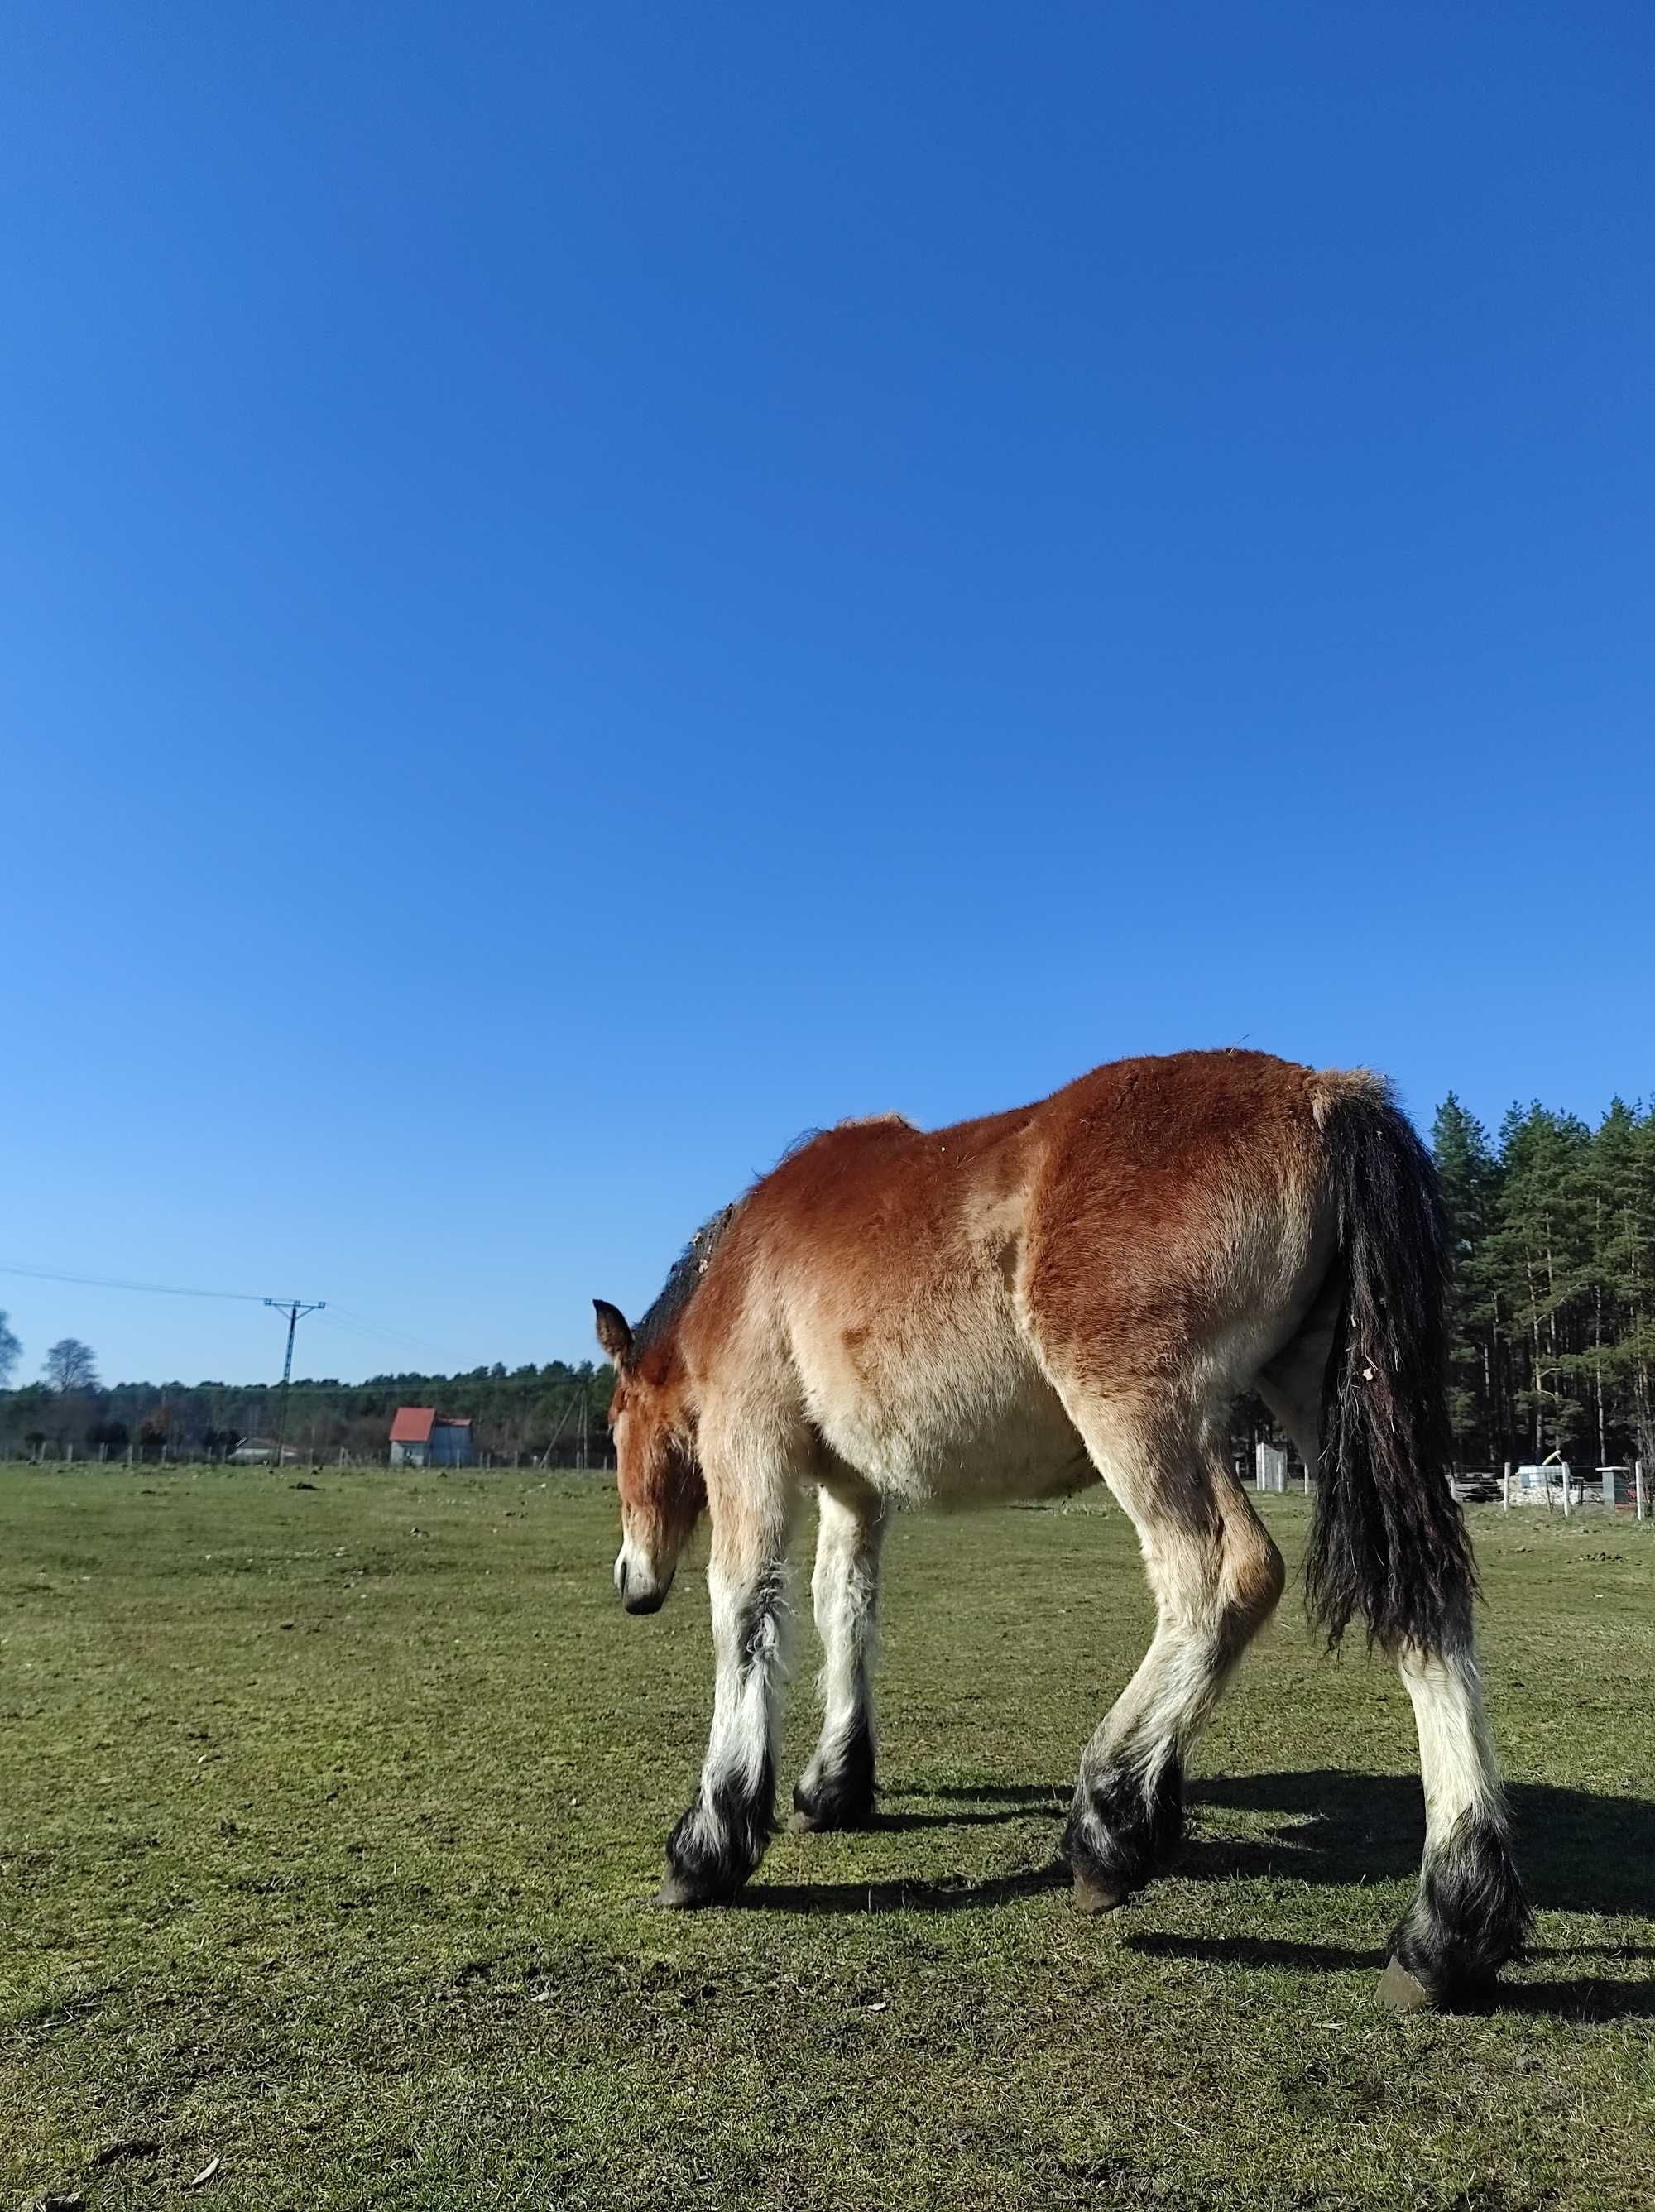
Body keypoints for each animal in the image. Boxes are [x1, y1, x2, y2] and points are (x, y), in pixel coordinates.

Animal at [592, 1044, 1522, 2017]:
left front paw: (710, 1840)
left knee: (1224, 1576)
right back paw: (1450, 1927)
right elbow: (843, 1606)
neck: (744, 1264)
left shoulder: (750, 1444)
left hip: (1145, 1417)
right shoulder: (856, 1487)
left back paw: (1110, 1823)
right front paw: (835, 1784)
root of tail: (1320, 1092)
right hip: (1329, 1398)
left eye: (612, 1425)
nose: (631, 1582)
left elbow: (746, 1610)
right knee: (1424, 1604)